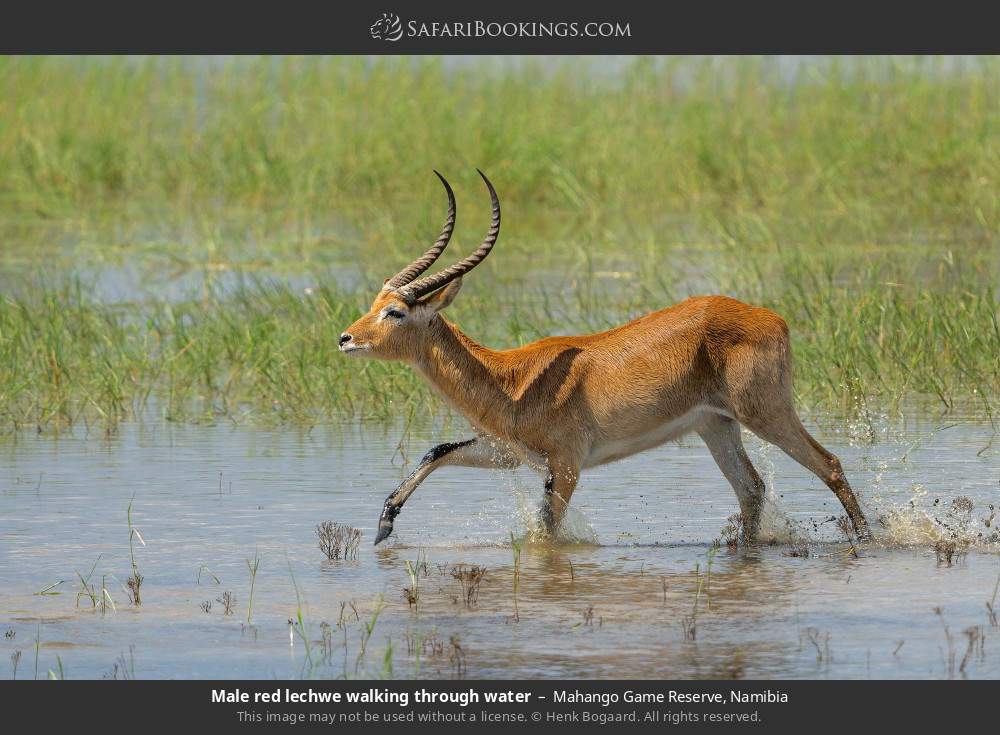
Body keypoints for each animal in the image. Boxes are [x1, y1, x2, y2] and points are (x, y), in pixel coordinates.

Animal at [340, 172, 872, 548]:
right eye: (375, 301)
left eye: (395, 311)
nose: (345, 338)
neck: (510, 380)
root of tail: (772, 317)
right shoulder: (509, 453)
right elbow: (437, 451)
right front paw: (383, 526)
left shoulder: (566, 465)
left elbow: (547, 532)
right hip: (716, 425)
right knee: (753, 489)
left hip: (765, 412)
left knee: (829, 464)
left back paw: (869, 540)